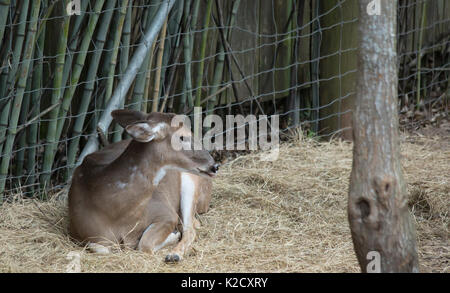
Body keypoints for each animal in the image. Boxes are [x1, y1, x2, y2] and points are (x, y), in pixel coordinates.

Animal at [68, 110, 220, 262]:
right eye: (182, 137)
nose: (214, 165)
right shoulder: (79, 234)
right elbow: (100, 248)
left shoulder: (166, 213)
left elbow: (144, 245)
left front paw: (173, 235)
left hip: (192, 182)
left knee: (190, 228)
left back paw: (174, 254)